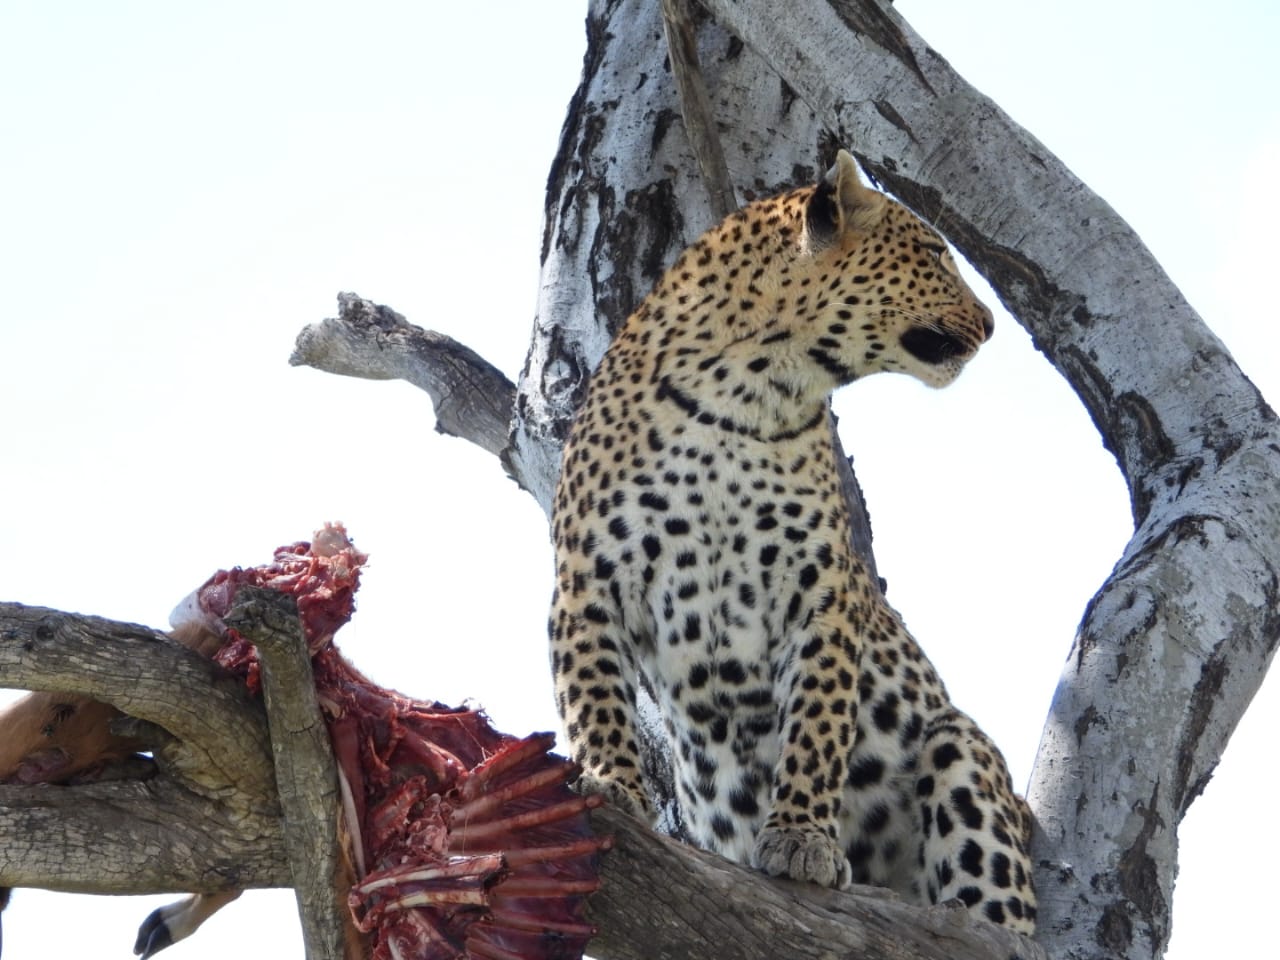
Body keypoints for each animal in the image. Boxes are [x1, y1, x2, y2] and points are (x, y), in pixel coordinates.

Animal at [548, 149, 1036, 932]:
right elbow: (592, 694)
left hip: (957, 746)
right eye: (934, 254)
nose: (991, 323)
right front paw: (611, 783)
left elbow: (817, 721)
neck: (745, 391)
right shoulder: (588, 577)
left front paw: (804, 839)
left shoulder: (819, 594)